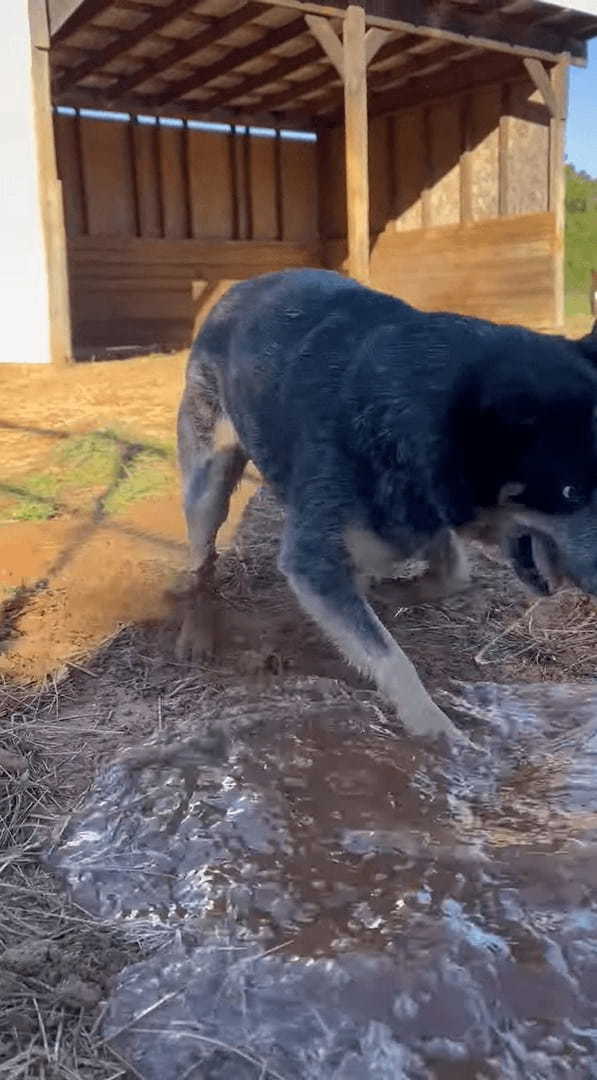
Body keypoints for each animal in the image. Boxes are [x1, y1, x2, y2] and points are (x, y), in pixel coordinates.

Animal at [174, 270, 595, 743]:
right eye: (570, 492)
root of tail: (240, 286)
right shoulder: (313, 559)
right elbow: (391, 658)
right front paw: (440, 734)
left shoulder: (418, 521)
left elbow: (453, 575)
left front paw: (391, 592)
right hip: (208, 486)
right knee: (202, 563)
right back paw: (197, 635)